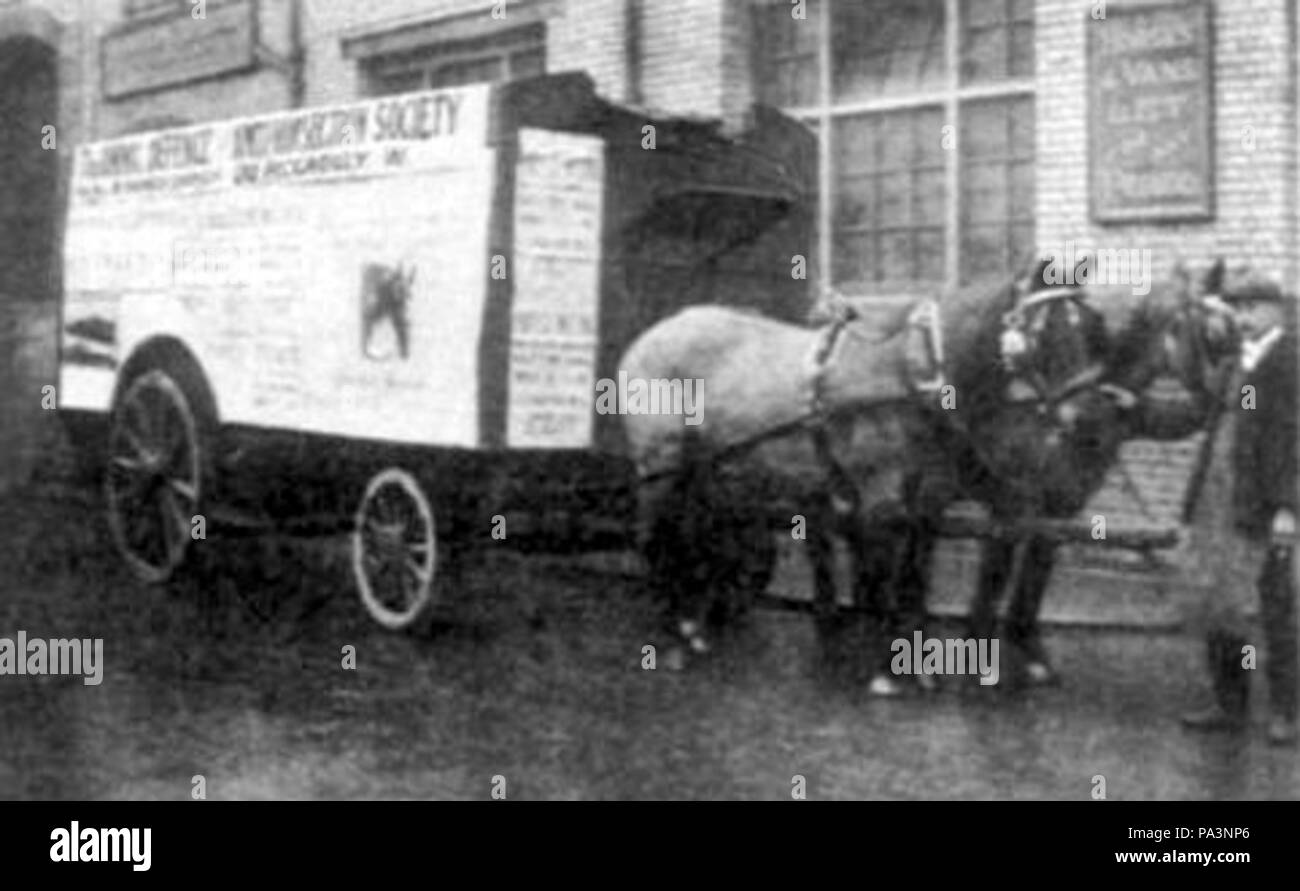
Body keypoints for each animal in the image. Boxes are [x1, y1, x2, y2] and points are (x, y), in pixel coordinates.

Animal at [616, 253, 1107, 663]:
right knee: (653, 535)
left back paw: (703, 615)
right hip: (662, 462)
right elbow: (883, 571)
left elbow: (909, 569)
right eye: (1047, 332)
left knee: (699, 531)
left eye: (1086, 328)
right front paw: (884, 660)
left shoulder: (926, 494)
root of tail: (650, 336)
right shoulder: (881, 494)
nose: (1083, 418)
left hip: (707, 467)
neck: (912, 369)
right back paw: (678, 625)